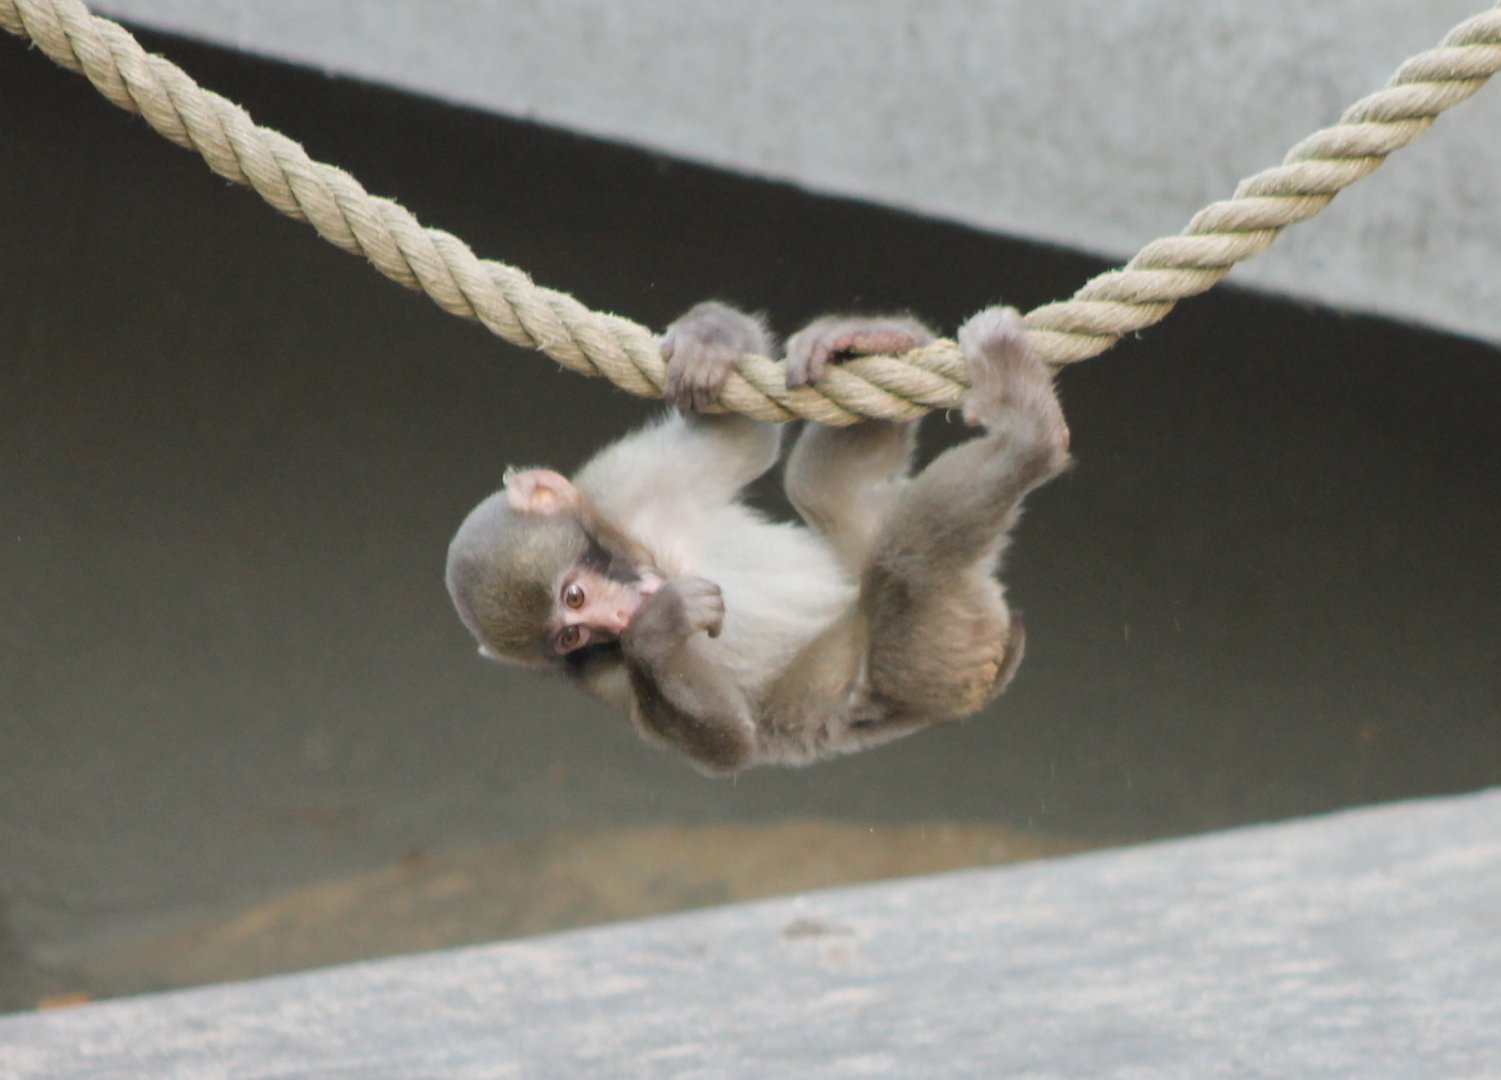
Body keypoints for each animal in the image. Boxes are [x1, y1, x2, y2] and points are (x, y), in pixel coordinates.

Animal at [446, 300, 1071, 775]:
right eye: (574, 635)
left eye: (573, 597)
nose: (618, 620)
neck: (645, 552)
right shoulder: (594, 672)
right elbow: (729, 744)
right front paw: (657, 632)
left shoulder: (622, 477)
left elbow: (742, 436)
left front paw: (707, 341)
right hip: (932, 660)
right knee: (879, 536)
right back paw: (1029, 438)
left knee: (861, 523)